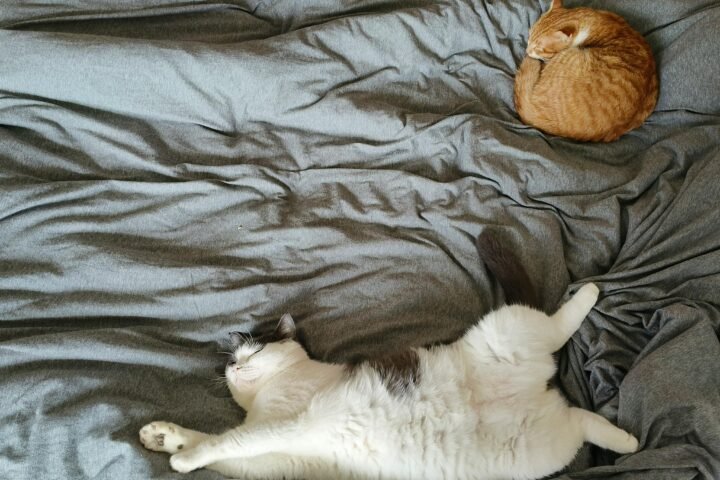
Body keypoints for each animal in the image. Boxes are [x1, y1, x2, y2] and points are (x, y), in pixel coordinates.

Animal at [139, 235, 639, 479]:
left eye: (254, 349)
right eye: (232, 361)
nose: (236, 366)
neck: (267, 400)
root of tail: (541, 387)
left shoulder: (290, 425)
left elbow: (228, 442)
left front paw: (183, 459)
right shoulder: (278, 462)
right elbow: (222, 445)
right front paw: (167, 439)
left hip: (508, 330)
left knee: (558, 325)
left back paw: (591, 292)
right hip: (542, 447)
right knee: (581, 421)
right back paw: (628, 442)